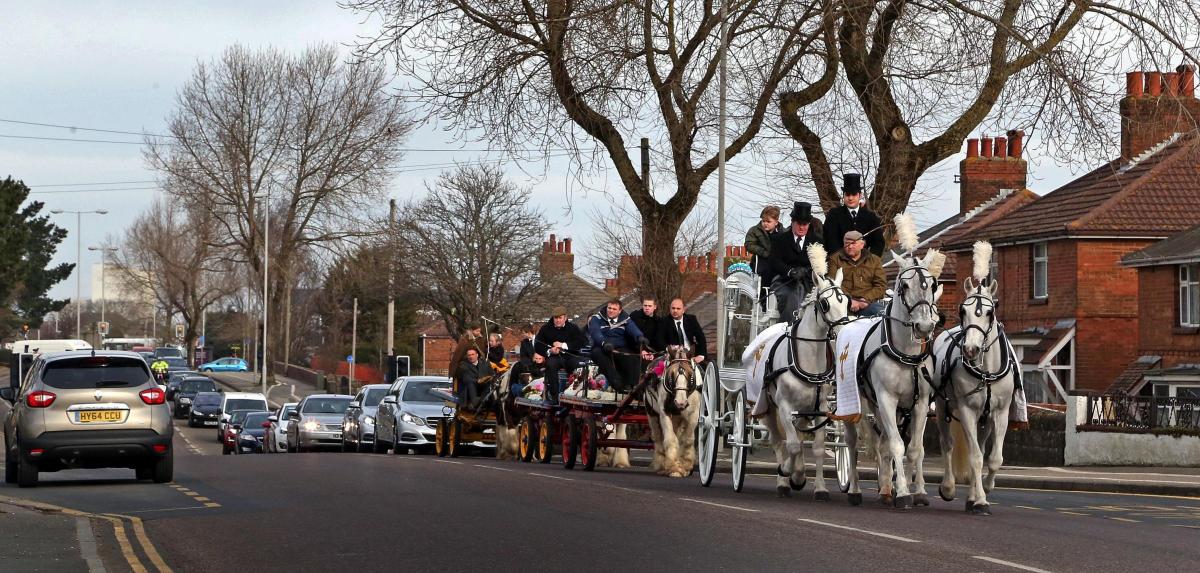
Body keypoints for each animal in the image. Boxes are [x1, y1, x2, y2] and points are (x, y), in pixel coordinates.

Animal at [648, 347, 700, 477]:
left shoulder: (694, 414)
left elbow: (687, 439)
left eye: (691, 376)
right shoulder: (664, 413)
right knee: (658, 437)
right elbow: (670, 439)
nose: (680, 402)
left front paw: (685, 464)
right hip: (652, 413)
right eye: (671, 376)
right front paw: (674, 467)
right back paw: (661, 464)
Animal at [758, 249, 854, 496]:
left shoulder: (821, 408)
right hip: (769, 408)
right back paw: (784, 479)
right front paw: (786, 471)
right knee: (779, 441)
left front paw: (817, 486)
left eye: (847, 301)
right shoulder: (785, 406)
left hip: (803, 410)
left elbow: (817, 447)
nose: (845, 330)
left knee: (799, 437)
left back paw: (798, 474)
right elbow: (791, 446)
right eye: (825, 303)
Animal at [844, 246, 945, 510]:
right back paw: (856, 490)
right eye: (904, 285)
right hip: (855, 404)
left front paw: (915, 491)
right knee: (852, 442)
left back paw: (885, 488)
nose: (924, 326)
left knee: (882, 443)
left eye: (932, 284)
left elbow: (914, 448)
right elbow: (897, 445)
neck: (905, 353)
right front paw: (903, 494)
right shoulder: (887, 399)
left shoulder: (919, 404)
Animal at [931, 242, 1017, 515]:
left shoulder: (1000, 412)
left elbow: (994, 458)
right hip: (943, 407)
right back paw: (949, 488)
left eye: (990, 312)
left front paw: (985, 490)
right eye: (963, 310)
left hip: (984, 418)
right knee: (948, 443)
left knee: (977, 444)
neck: (986, 371)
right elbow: (976, 457)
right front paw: (979, 500)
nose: (970, 349)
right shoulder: (967, 409)